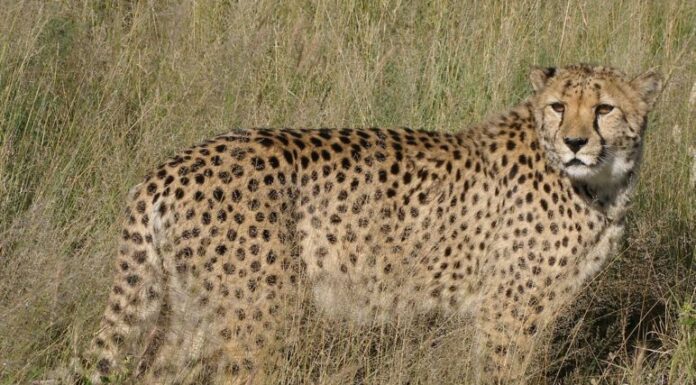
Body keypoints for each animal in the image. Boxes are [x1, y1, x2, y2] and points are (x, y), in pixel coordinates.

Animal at [84, 64, 660, 382]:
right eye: (559, 106)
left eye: (604, 108)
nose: (575, 143)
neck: (602, 183)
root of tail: (171, 165)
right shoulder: (507, 310)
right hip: (258, 316)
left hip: (195, 309)